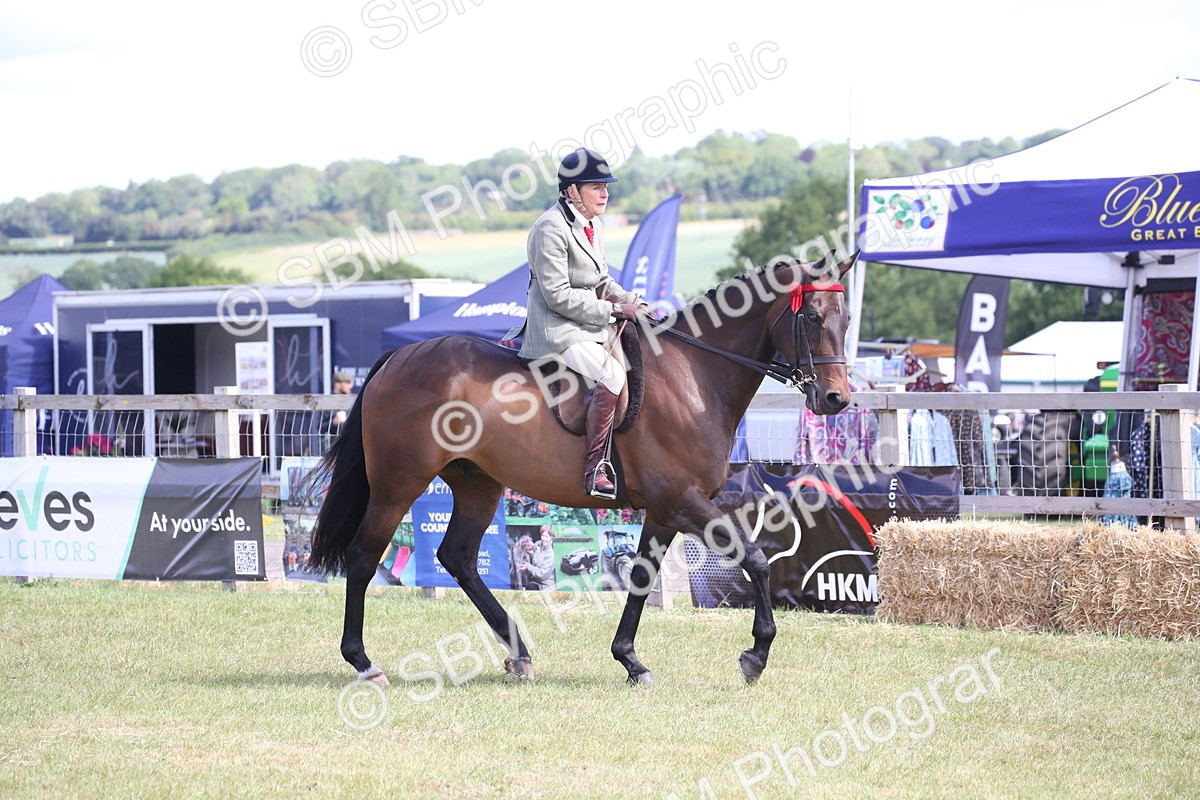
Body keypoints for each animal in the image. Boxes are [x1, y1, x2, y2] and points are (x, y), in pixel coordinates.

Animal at [307, 252, 857, 687]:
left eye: (847, 318)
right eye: (811, 317)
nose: (836, 399)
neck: (693, 375)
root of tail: (399, 356)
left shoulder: (664, 511)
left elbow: (641, 577)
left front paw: (631, 660)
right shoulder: (683, 501)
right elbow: (757, 560)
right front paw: (755, 655)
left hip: (478, 484)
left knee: (458, 558)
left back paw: (519, 654)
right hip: (397, 485)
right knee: (363, 557)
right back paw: (363, 662)